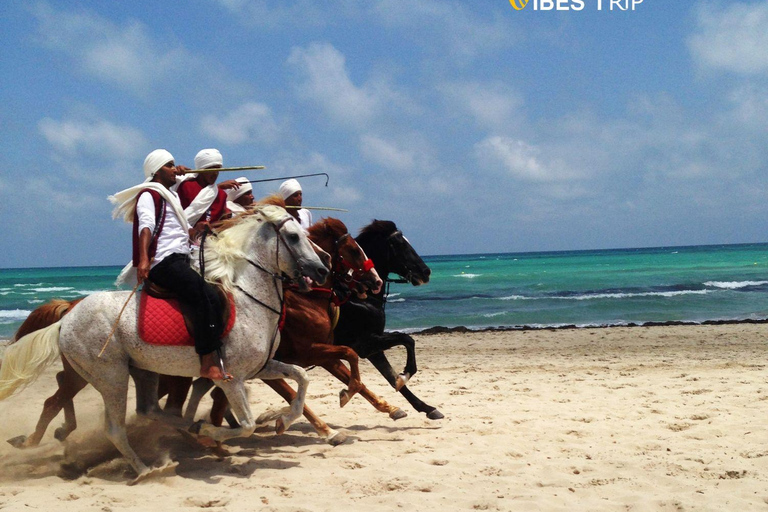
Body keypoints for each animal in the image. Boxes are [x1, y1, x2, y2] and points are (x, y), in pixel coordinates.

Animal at [0, 204, 328, 480]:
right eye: (294, 236)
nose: (322, 270)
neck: (250, 300)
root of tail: (66, 317)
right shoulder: (230, 378)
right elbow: (246, 426)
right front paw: (215, 430)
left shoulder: (261, 367)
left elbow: (301, 378)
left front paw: (283, 420)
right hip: (111, 377)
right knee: (115, 428)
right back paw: (147, 469)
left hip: (142, 371)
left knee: (150, 411)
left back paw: (190, 431)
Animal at [334, 220, 448, 420]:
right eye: (400, 244)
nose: (426, 272)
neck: (358, 296)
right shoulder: (364, 343)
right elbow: (407, 339)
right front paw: (405, 375)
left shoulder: (372, 349)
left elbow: (390, 376)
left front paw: (427, 408)